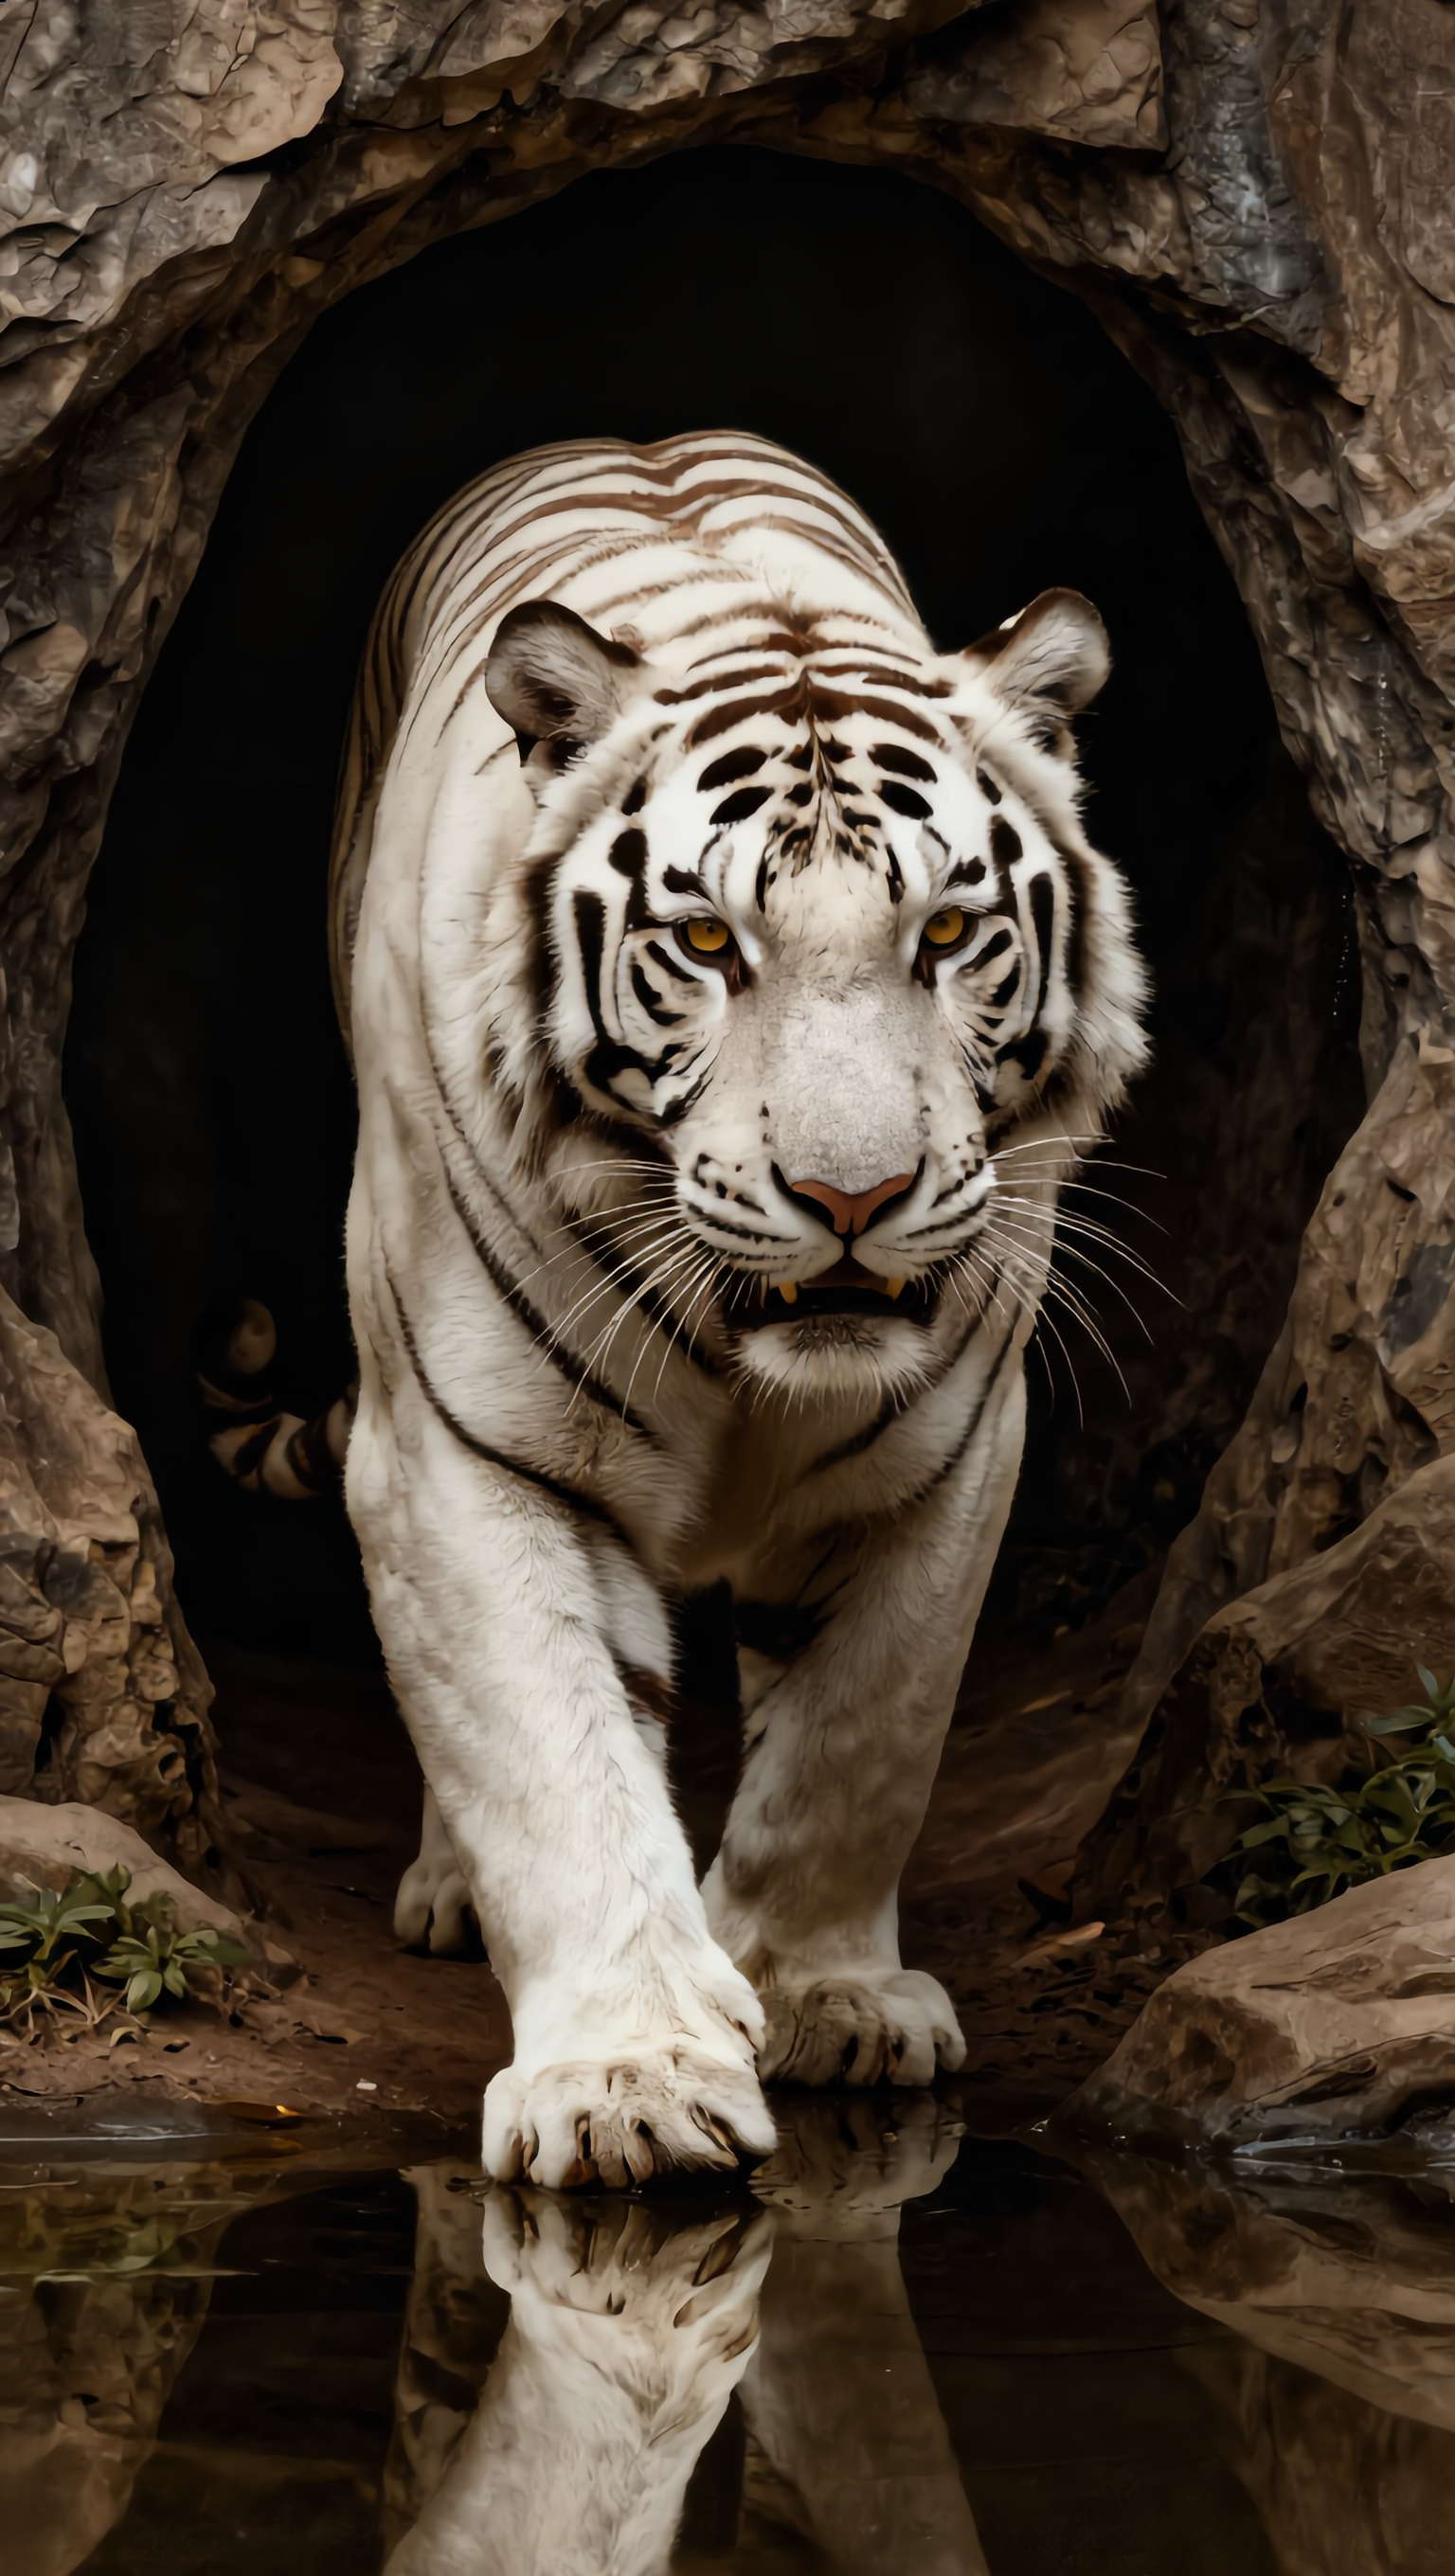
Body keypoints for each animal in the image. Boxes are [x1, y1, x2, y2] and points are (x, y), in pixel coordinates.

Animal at [316, 430, 1147, 2190]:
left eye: (948, 932)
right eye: (706, 941)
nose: (851, 1197)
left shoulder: (946, 1454)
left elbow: (858, 1743)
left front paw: (826, 2001)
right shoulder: (467, 1456)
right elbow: (553, 1762)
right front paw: (624, 2085)